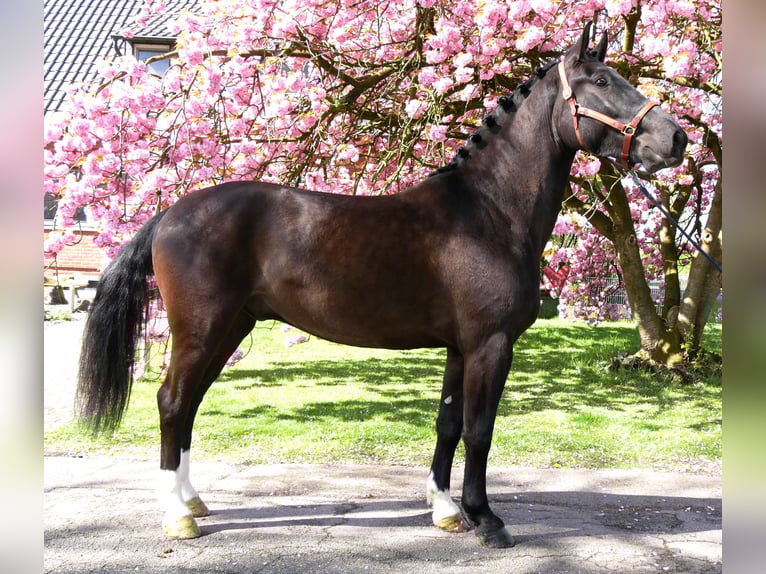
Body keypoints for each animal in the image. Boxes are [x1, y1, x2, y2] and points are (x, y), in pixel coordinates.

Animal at [76, 23, 687, 548]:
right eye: (602, 82)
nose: (676, 139)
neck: (488, 211)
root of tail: (170, 214)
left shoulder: (460, 348)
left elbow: (447, 424)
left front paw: (446, 511)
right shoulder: (490, 345)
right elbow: (480, 431)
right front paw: (486, 519)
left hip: (229, 328)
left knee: (189, 405)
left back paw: (193, 500)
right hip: (201, 329)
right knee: (173, 401)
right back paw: (178, 516)